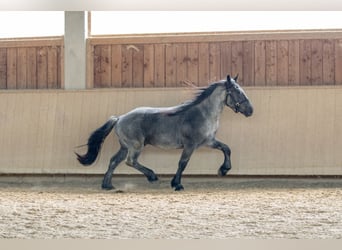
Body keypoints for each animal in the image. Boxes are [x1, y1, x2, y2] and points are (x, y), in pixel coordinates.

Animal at [77, 74, 254, 191]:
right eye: (237, 91)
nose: (250, 110)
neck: (203, 113)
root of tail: (120, 118)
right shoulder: (190, 145)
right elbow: (183, 163)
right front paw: (177, 184)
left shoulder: (209, 141)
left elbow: (226, 148)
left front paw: (223, 170)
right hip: (135, 146)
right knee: (130, 161)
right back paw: (152, 176)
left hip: (125, 146)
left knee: (114, 161)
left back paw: (107, 185)